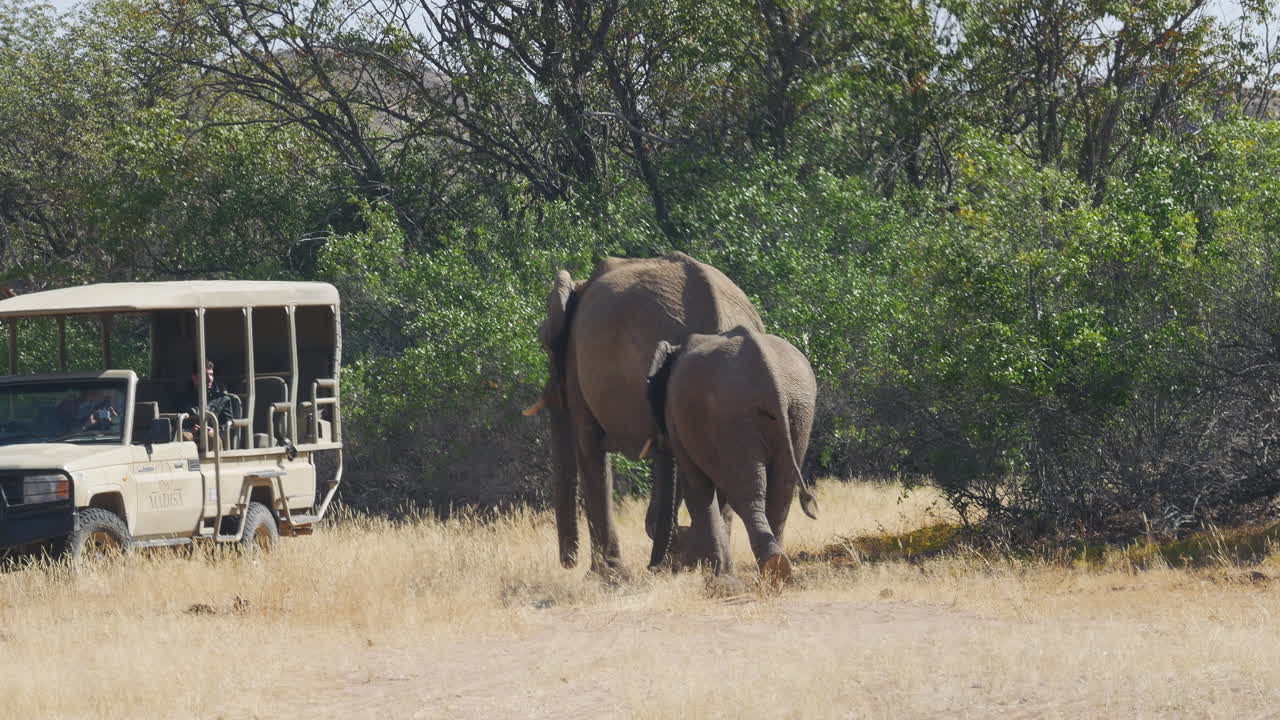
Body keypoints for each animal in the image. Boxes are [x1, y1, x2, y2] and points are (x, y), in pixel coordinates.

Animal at [523, 252, 765, 577]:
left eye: (543, 345)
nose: (568, 562)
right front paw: (672, 557)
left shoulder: (576, 367)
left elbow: (590, 450)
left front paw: (607, 577)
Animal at [643, 325, 818, 583]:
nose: (653, 569)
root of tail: (771, 377)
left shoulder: (680, 421)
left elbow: (697, 487)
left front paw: (715, 574)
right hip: (798, 410)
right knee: (780, 492)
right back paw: (776, 570)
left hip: (732, 415)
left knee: (748, 494)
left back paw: (768, 568)